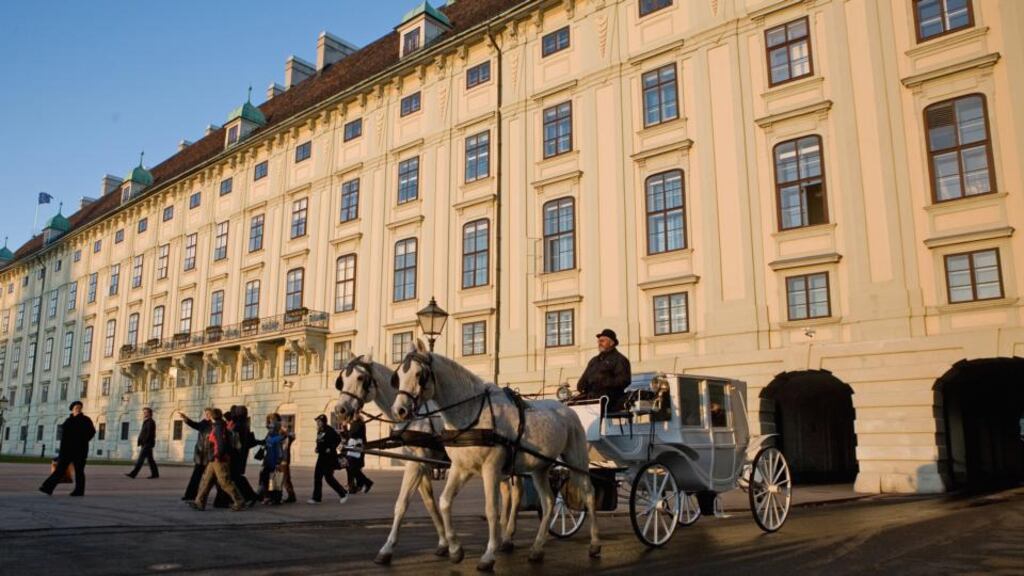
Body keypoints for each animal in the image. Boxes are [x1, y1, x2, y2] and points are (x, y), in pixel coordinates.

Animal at [334, 354, 523, 565]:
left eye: (360, 378)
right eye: (342, 379)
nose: (340, 410)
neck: (416, 419)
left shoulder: (417, 462)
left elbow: (402, 504)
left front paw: (387, 548)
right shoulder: (420, 464)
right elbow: (430, 504)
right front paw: (444, 544)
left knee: (517, 492)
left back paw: (507, 537)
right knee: (507, 492)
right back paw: (503, 531)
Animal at [391, 339, 600, 572]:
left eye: (420, 375)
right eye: (398, 376)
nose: (399, 411)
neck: (472, 413)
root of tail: (565, 407)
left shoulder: (490, 468)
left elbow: (492, 510)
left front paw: (488, 556)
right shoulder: (460, 468)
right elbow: (444, 502)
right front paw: (455, 549)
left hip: (576, 459)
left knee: (589, 494)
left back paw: (594, 544)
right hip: (540, 468)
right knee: (547, 502)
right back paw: (537, 549)